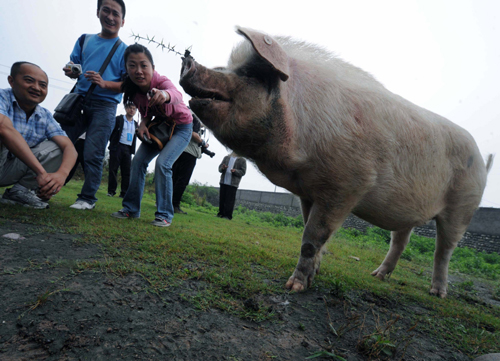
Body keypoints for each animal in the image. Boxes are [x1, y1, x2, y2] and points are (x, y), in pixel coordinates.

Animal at [180, 24, 492, 296]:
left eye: (249, 74)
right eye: (227, 69)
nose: (188, 60)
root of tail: (482, 160)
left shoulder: (348, 184)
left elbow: (312, 238)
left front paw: (294, 287)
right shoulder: (308, 191)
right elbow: (312, 234)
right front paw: (313, 276)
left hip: (462, 206)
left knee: (444, 250)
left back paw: (437, 293)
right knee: (401, 240)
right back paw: (377, 276)